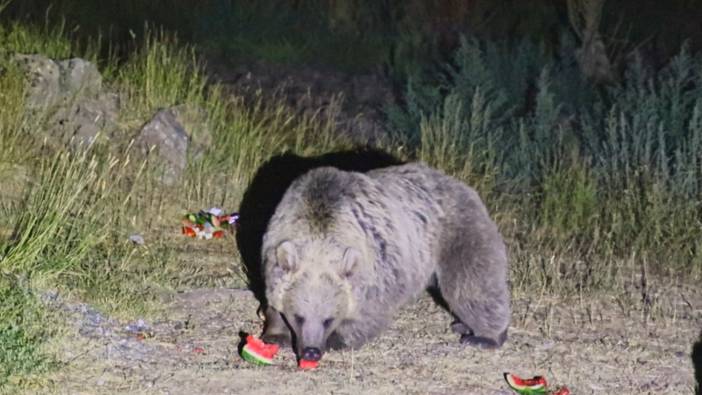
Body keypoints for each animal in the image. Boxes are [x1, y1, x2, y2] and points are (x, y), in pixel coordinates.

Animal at [262, 162, 508, 364]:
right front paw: (276, 333)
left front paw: (338, 339)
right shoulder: (273, 246)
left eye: (328, 319)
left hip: (458, 234)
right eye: (299, 317)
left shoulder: (375, 269)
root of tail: (459, 183)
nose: (311, 351)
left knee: (471, 283)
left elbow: (368, 312)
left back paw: (485, 336)